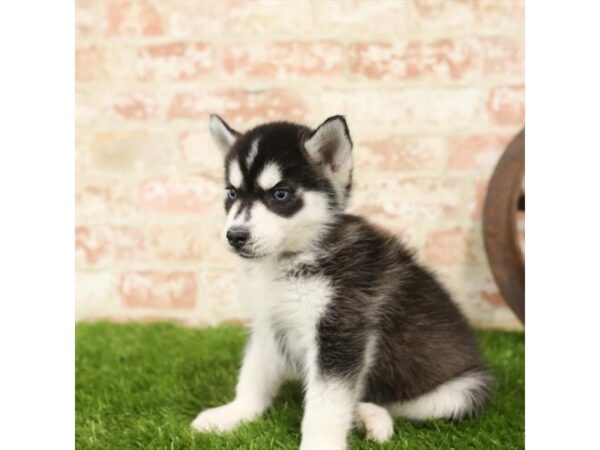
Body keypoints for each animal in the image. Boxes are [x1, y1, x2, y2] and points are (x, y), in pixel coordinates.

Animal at [191, 115, 492, 450]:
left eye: (280, 194)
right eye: (231, 193)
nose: (235, 236)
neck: (289, 260)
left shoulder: (341, 330)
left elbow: (327, 405)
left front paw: (319, 445)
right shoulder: (270, 323)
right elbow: (254, 375)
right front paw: (235, 413)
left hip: (465, 389)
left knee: (399, 404)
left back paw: (372, 418)